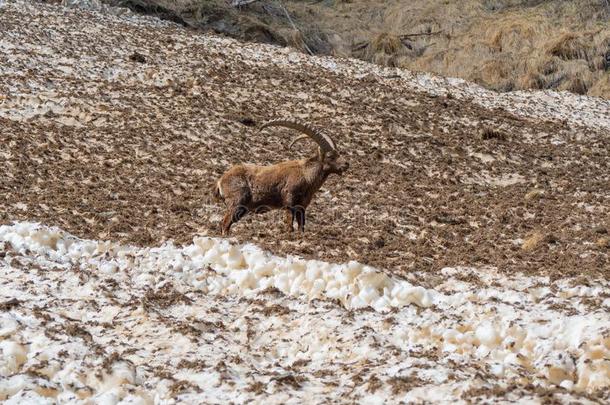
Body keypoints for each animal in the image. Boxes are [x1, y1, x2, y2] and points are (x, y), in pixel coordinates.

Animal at [213, 118, 346, 234]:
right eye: (330, 156)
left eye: (338, 153)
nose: (346, 164)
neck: (306, 175)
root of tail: (221, 181)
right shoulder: (289, 201)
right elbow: (289, 223)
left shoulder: (302, 206)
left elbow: (301, 225)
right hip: (237, 203)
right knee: (225, 223)